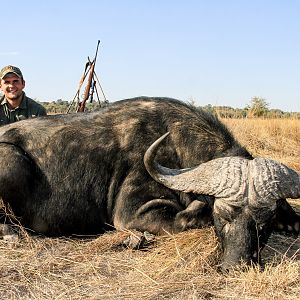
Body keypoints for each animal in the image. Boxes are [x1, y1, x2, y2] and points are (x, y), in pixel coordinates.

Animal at [0, 96, 298, 272]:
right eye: (222, 216)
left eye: (266, 222)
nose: (236, 266)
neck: (177, 148)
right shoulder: (133, 213)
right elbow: (184, 220)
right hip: (12, 159)